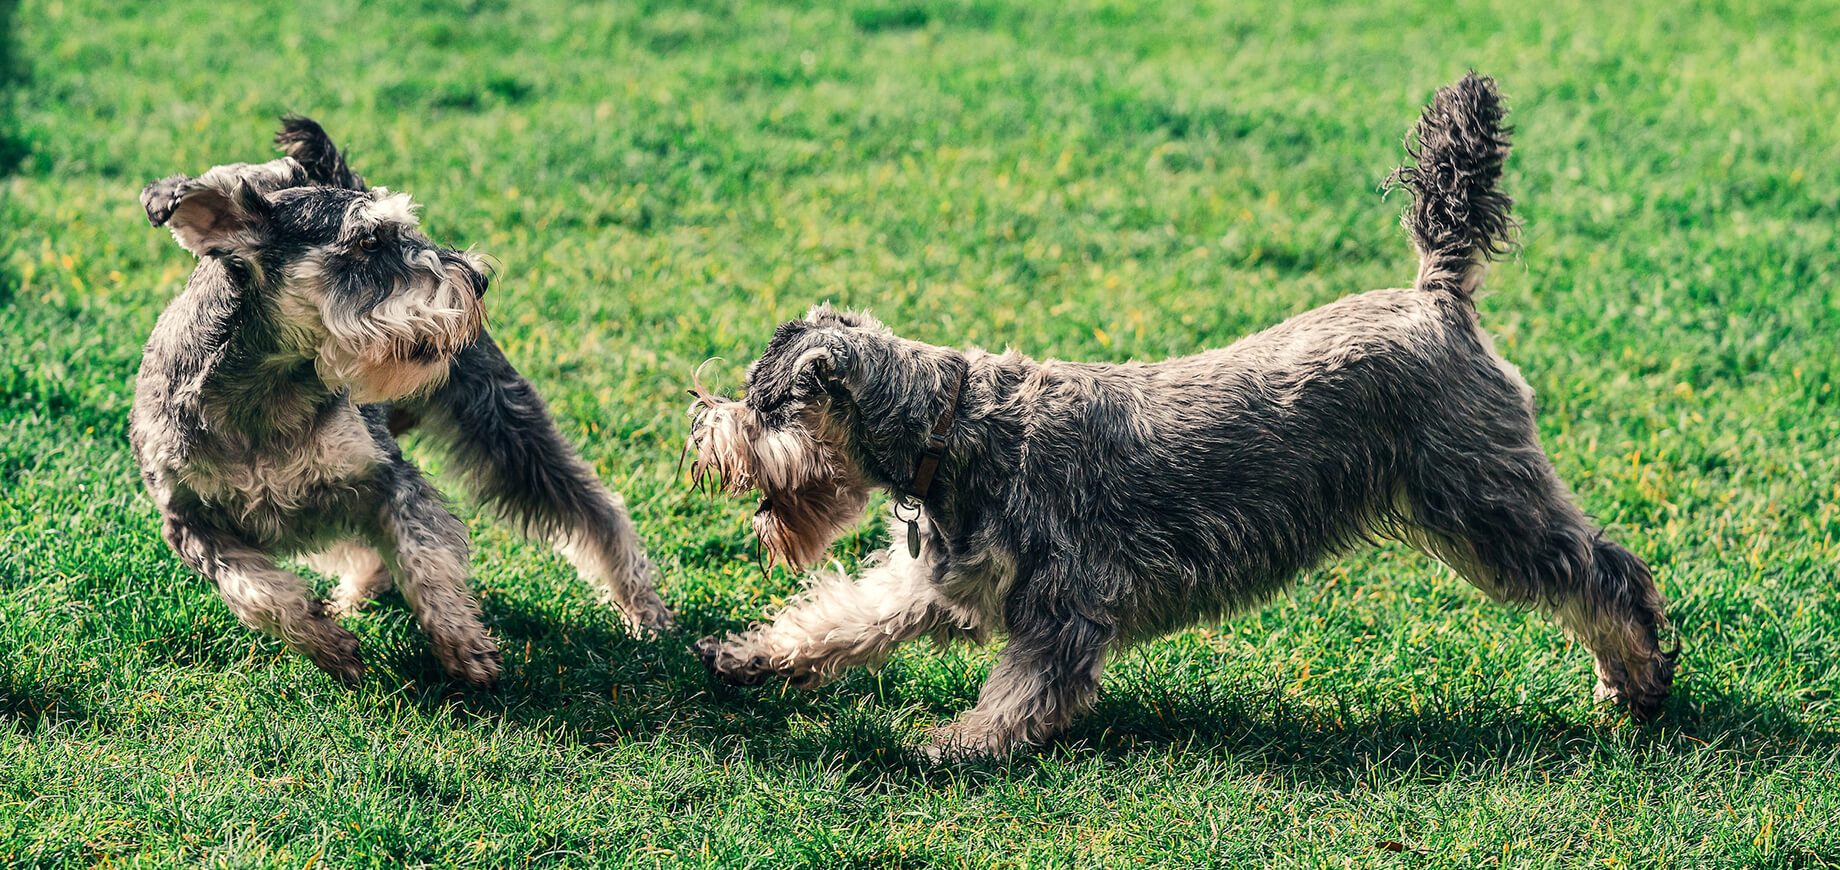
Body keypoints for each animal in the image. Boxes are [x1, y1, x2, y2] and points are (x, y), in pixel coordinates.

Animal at [133, 116, 673, 684]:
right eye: (368, 239)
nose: (479, 278)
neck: (262, 396)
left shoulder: (387, 478)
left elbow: (424, 558)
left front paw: (462, 645)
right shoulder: (191, 524)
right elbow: (257, 593)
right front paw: (330, 645)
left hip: (503, 423)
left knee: (596, 510)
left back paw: (644, 610)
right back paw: (352, 599)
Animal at [684, 73, 1678, 754]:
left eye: (761, 403)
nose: (700, 426)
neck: (950, 430)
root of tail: (1438, 297)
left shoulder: (1064, 605)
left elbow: (1025, 691)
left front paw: (957, 745)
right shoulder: (931, 583)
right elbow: (840, 617)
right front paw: (752, 657)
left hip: (1486, 506)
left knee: (1607, 577)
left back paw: (1636, 685)